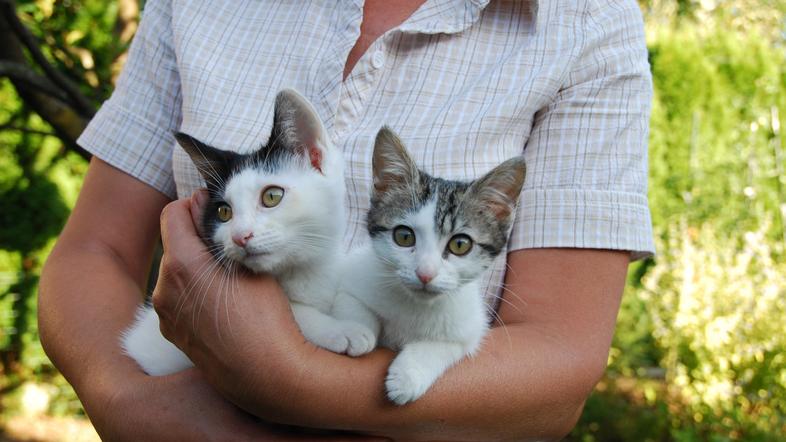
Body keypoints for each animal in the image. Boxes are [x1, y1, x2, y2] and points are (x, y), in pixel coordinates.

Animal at [122, 90, 368, 376]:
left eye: (272, 196)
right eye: (223, 212)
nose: (240, 236)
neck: (299, 271)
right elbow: (296, 313)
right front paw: (341, 329)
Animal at [332, 127, 528, 404]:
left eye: (460, 244)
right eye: (404, 237)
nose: (425, 274)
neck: (416, 307)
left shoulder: (469, 331)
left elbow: (444, 346)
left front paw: (408, 375)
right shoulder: (352, 281)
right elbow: (353, 306)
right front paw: (357, 333)